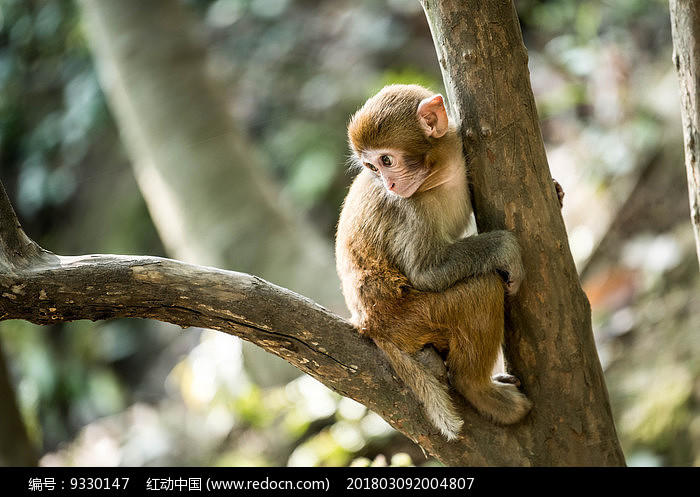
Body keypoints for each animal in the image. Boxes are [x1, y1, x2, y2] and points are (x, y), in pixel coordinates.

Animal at [334, 84, 532, 438]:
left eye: (385, 160)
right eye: (373, 168)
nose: (390, 184)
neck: (439, 175)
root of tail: (367, 324)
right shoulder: (410, 210)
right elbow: (425, 274)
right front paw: (505, 247)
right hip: (413, 319)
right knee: (482, 289)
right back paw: (477, 389)